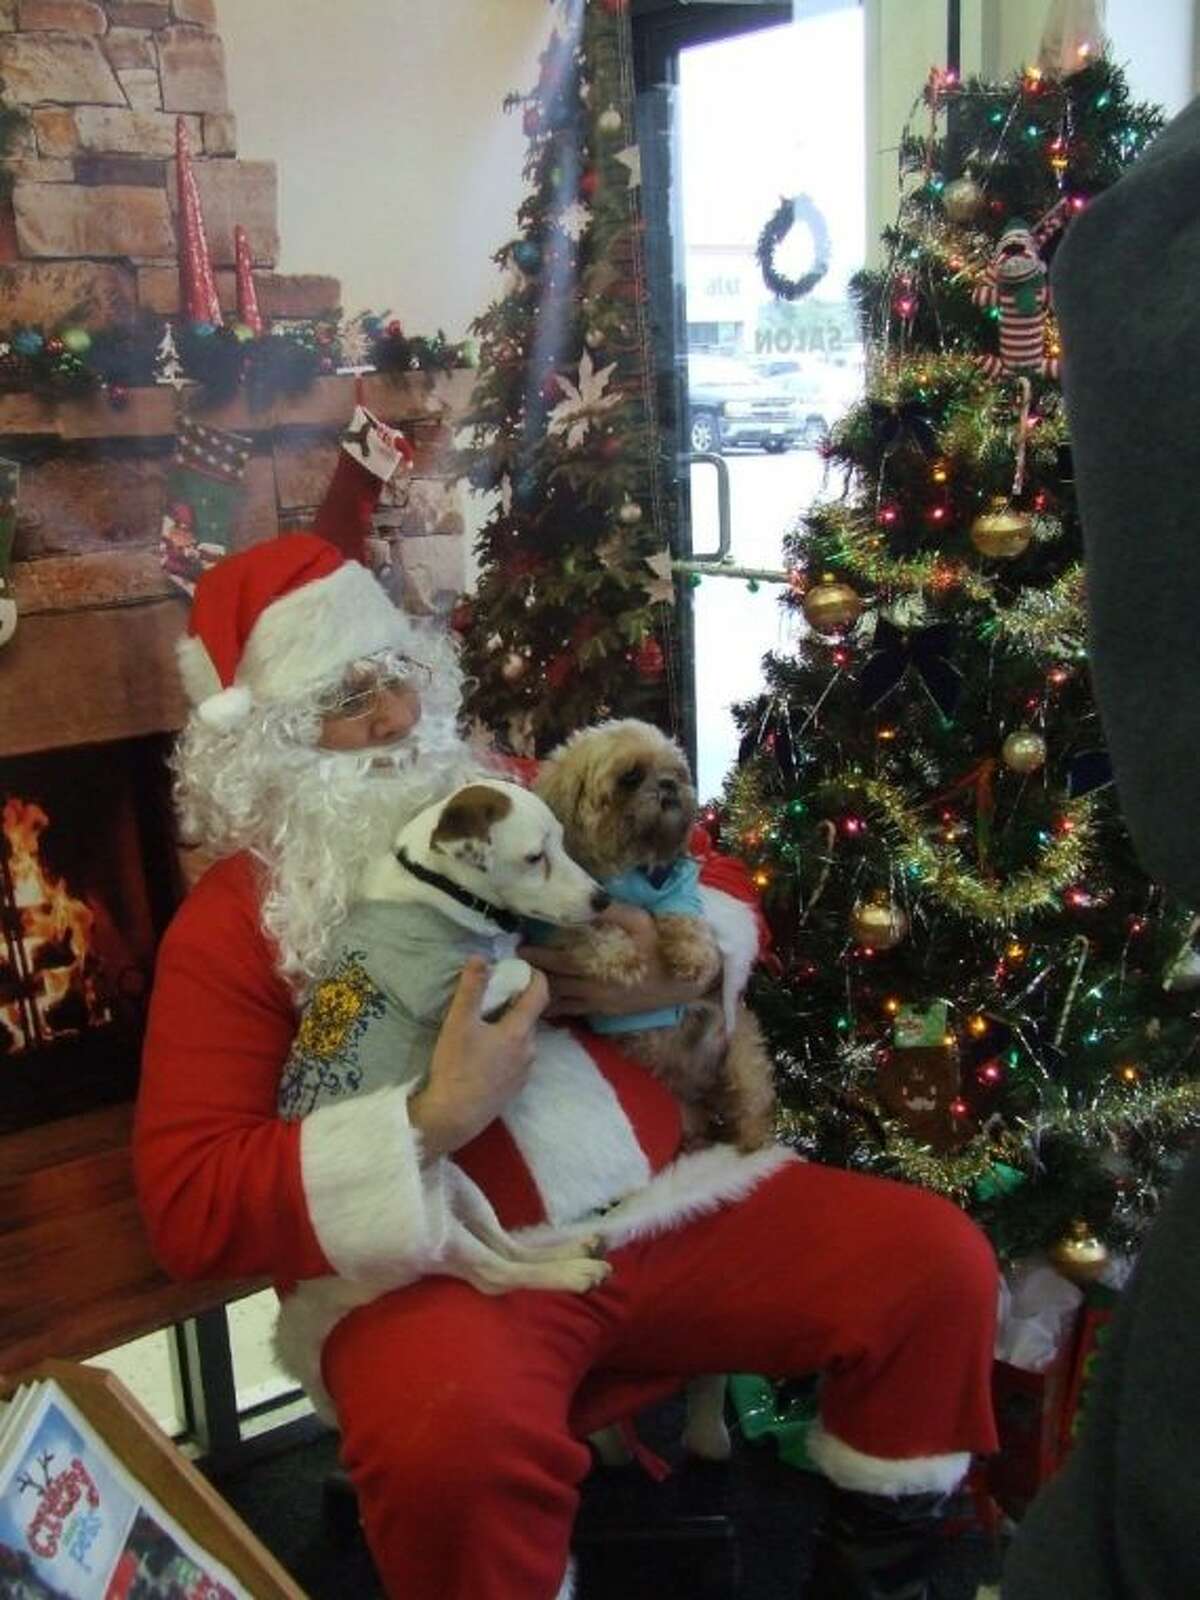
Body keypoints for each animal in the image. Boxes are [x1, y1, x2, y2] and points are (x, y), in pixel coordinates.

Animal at [275, 777, 611, 1299]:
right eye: (535, 857)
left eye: (562, 840)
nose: (603, 898)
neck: (437, 885)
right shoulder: (443, 992)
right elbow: (521, 967)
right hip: (439, 1232)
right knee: (494, 1274)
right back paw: (566, 1275)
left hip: (463, 1187)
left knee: (506, 1242)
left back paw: (569, 1250)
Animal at [534, 720, 780, 1158]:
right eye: (630, 777)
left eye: (678, 773)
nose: (668, 785)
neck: (624, 868)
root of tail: (700, 1087)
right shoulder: (554, 927)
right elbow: (590, 933)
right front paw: (622, 957)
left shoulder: (677, 888)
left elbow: (686, 918)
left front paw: (694, 956)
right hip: (683, 1103)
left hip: (742, 1054)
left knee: (751, 1107)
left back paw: (752, 1143)